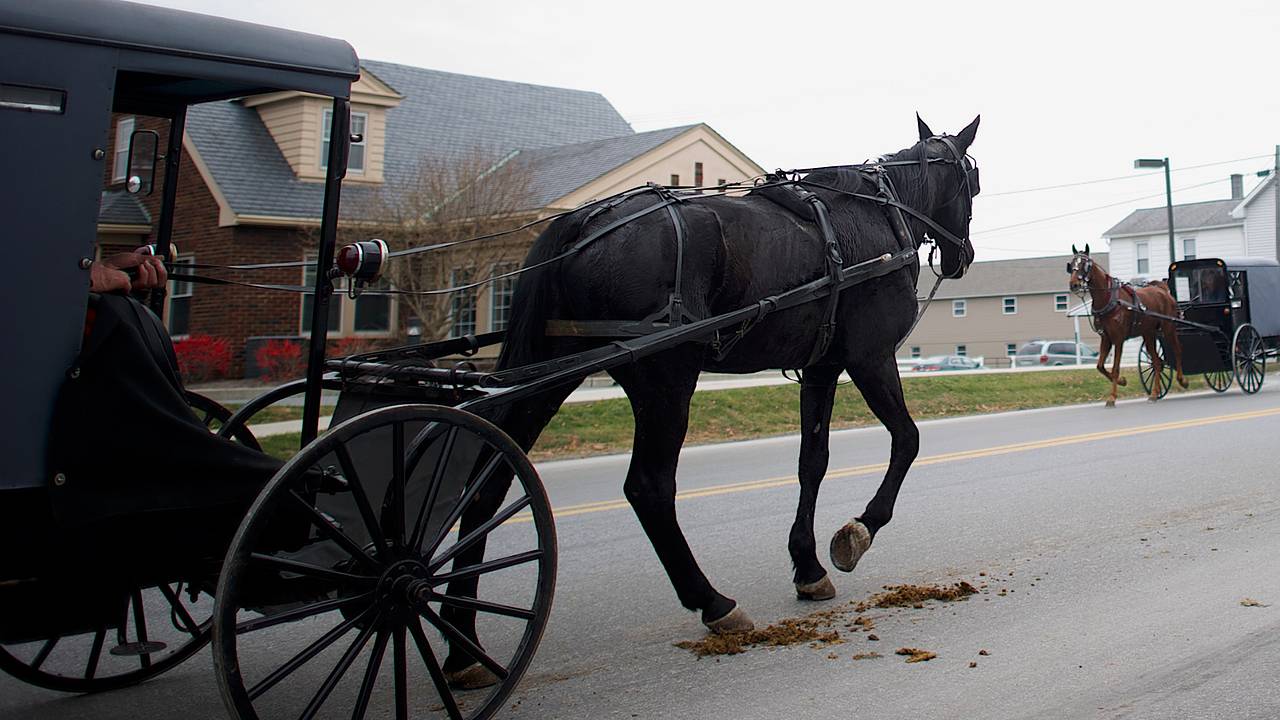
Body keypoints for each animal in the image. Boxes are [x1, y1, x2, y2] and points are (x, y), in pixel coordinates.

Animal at [440, 114, 977, 681]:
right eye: (974, 181)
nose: (962, 257)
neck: (879, 216)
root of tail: (584, 220)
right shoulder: (870, 357)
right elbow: (907, 440)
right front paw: (859, 530)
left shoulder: (821, 368)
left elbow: (813, 462)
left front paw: (807, 567)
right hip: (666, 376)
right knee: (648, 487)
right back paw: (713, 602)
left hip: (554, 369)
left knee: (489, 485)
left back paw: (462, 644)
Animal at [1064, 244, 1182, 404]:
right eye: (1071, 265)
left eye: (1085, 264)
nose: (1074, 284)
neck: (1108, 299)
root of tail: (1162, 290)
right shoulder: (1106, 338)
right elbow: (1100, 366)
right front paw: (1122, 381)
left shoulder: (1118, 339)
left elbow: (1115, 368)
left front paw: (1112, 397)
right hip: (1148, 334)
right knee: (1157, 362)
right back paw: (1154, 393)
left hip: (1168, 328)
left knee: (1177, 350)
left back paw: (1182, 380)